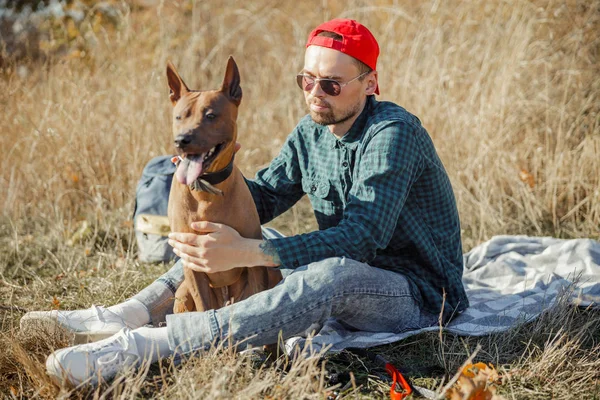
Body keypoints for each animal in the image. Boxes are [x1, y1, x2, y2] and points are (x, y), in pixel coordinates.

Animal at [168, 57, 282, 312]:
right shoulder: (191, 263)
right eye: (178, 117)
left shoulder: (253, 259)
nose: (181, 140)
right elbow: (203, 307)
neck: (205, 190)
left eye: (210, 116)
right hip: (182, 294)